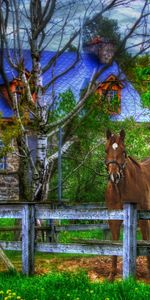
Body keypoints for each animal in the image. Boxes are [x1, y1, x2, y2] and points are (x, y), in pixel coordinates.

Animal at [104, 129, 150, 282]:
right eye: (106, 150)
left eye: (123, 151)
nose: (114, 176)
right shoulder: (114, 218)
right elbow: (114, 242)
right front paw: (112, 275)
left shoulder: (143, 217)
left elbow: (145, 238)